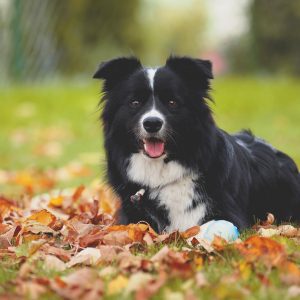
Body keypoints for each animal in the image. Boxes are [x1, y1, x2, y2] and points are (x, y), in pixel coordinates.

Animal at [93, 56, 300, 234]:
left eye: (172, 102)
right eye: (135, 102)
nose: (152, 123)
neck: (163, 172)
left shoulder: (229, 215)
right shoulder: (130, 217)